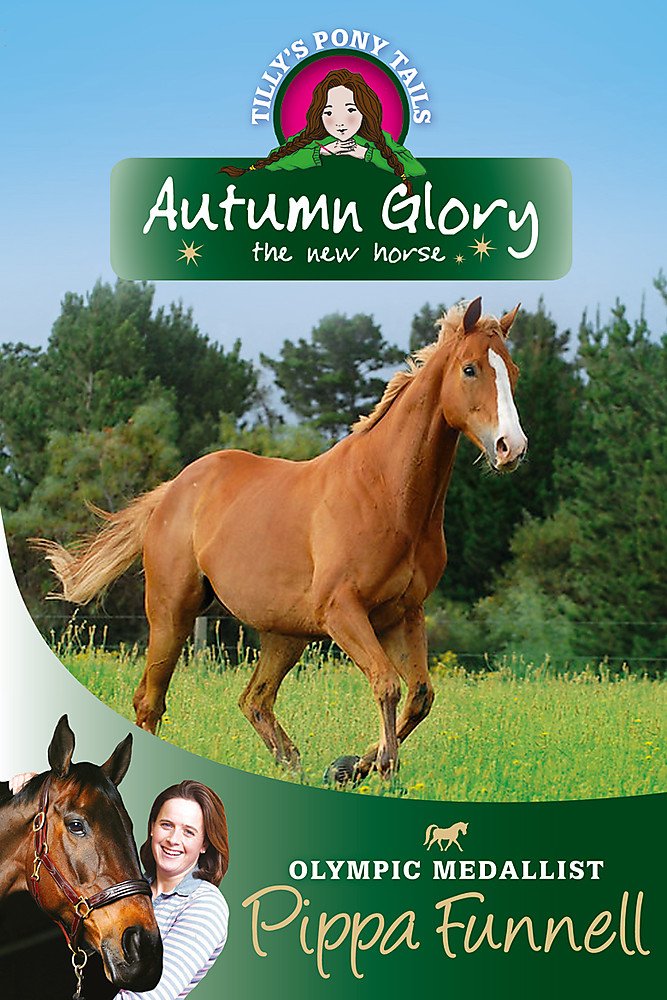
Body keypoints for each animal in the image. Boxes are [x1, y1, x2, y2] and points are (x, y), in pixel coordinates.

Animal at [35, 297, 527, 779]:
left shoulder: (403, 614)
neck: (386, 493)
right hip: (172, 614)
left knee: (255, 700)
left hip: (285, 634)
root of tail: (173, 490)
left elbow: (420, 695)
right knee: (151, 701)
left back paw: (297, 768)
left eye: (513, 371)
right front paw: (381, 769)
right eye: (470, 369)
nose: (512, 448)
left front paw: (352, 767)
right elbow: (387, 685)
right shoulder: (344, 612)